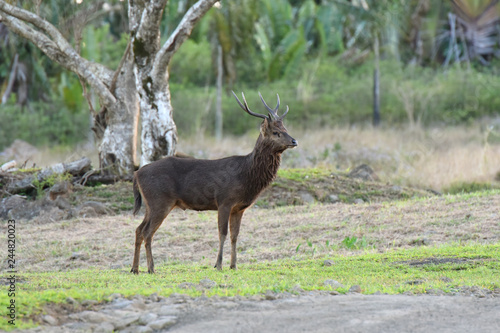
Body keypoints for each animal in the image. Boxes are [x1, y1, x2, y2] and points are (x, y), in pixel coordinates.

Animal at [131, 91, 298, 272]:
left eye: (285, 128)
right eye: (275, 132)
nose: (294, 141)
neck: (246, 177)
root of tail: (137, 173)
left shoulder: (239, 208)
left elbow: (235, 236)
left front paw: (234, 265)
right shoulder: (224, 201)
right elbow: (222, 233)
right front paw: (218, 264)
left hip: (150, 204)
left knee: (138, 229)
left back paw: (135, 269)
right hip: (160, 200)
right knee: (147, 232)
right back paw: (151, 268)